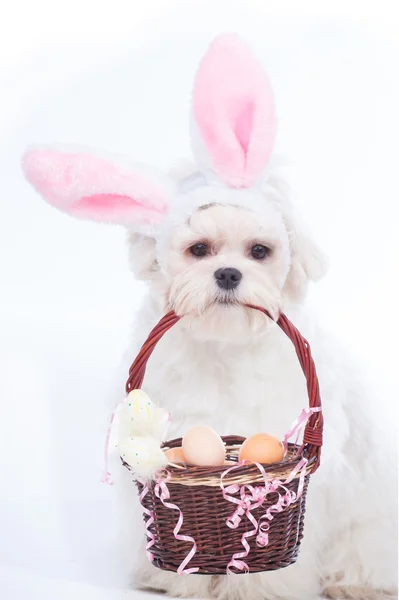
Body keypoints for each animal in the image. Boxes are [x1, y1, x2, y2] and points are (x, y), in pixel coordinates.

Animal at [21, 34, 396, 600]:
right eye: (199, 249)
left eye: (260, 251)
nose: (228, 273)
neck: (223, 346)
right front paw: (179, 577)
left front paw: (260, 586)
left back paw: (354, 583)